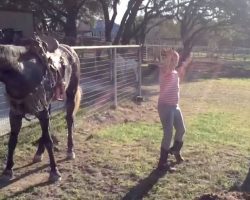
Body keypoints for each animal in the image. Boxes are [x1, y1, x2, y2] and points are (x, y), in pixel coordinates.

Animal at [0, 36, 81, 181]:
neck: (20, 71)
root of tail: (70, 50)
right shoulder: (15, 113)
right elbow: (12, 141)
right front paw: (8, 170)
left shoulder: (41, 112)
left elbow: (49, 141)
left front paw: (55, 172)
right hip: (46, 105)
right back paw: (38, 154)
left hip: (71, 94)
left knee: (69, 120)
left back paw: (70, 151)